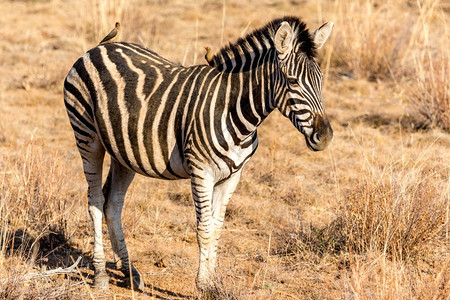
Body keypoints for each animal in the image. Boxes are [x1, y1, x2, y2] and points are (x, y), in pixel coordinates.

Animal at [64, 15, 334, 290]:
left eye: (321, 80)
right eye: (293, 82)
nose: (325, 136)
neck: (236, 111)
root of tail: (101, 46)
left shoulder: (233, 176)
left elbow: (217, 228)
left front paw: (214, 282)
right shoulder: (202, 172)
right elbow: (204, 229)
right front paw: (203, 284)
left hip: (124, 152)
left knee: (113, 204)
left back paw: (130, 273)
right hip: (87, 137)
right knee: (96, 202)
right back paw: (100, 274)